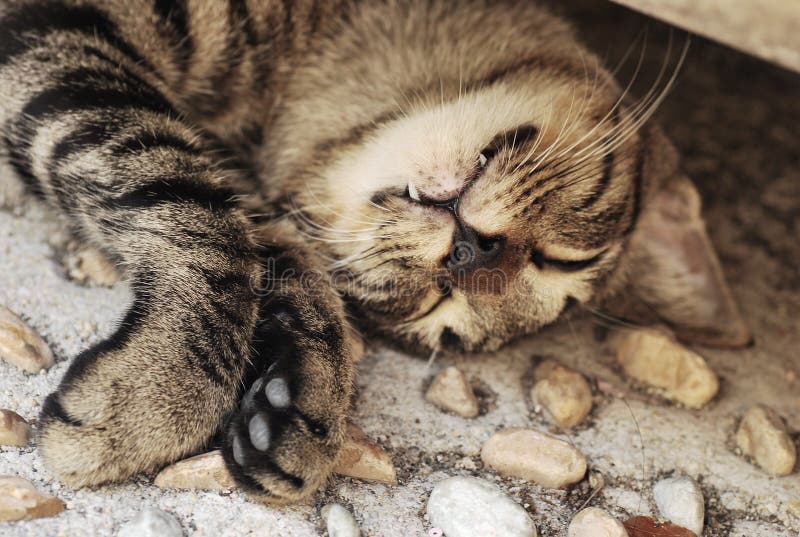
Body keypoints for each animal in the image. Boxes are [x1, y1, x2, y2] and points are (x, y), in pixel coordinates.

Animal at [0, 0, 752, 502]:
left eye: (434, 310)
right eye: (563, 260)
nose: (472, 257)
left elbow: (273, 250)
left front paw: (300, 395)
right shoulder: (57, 40)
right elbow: (190, 207)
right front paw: (156, 395)